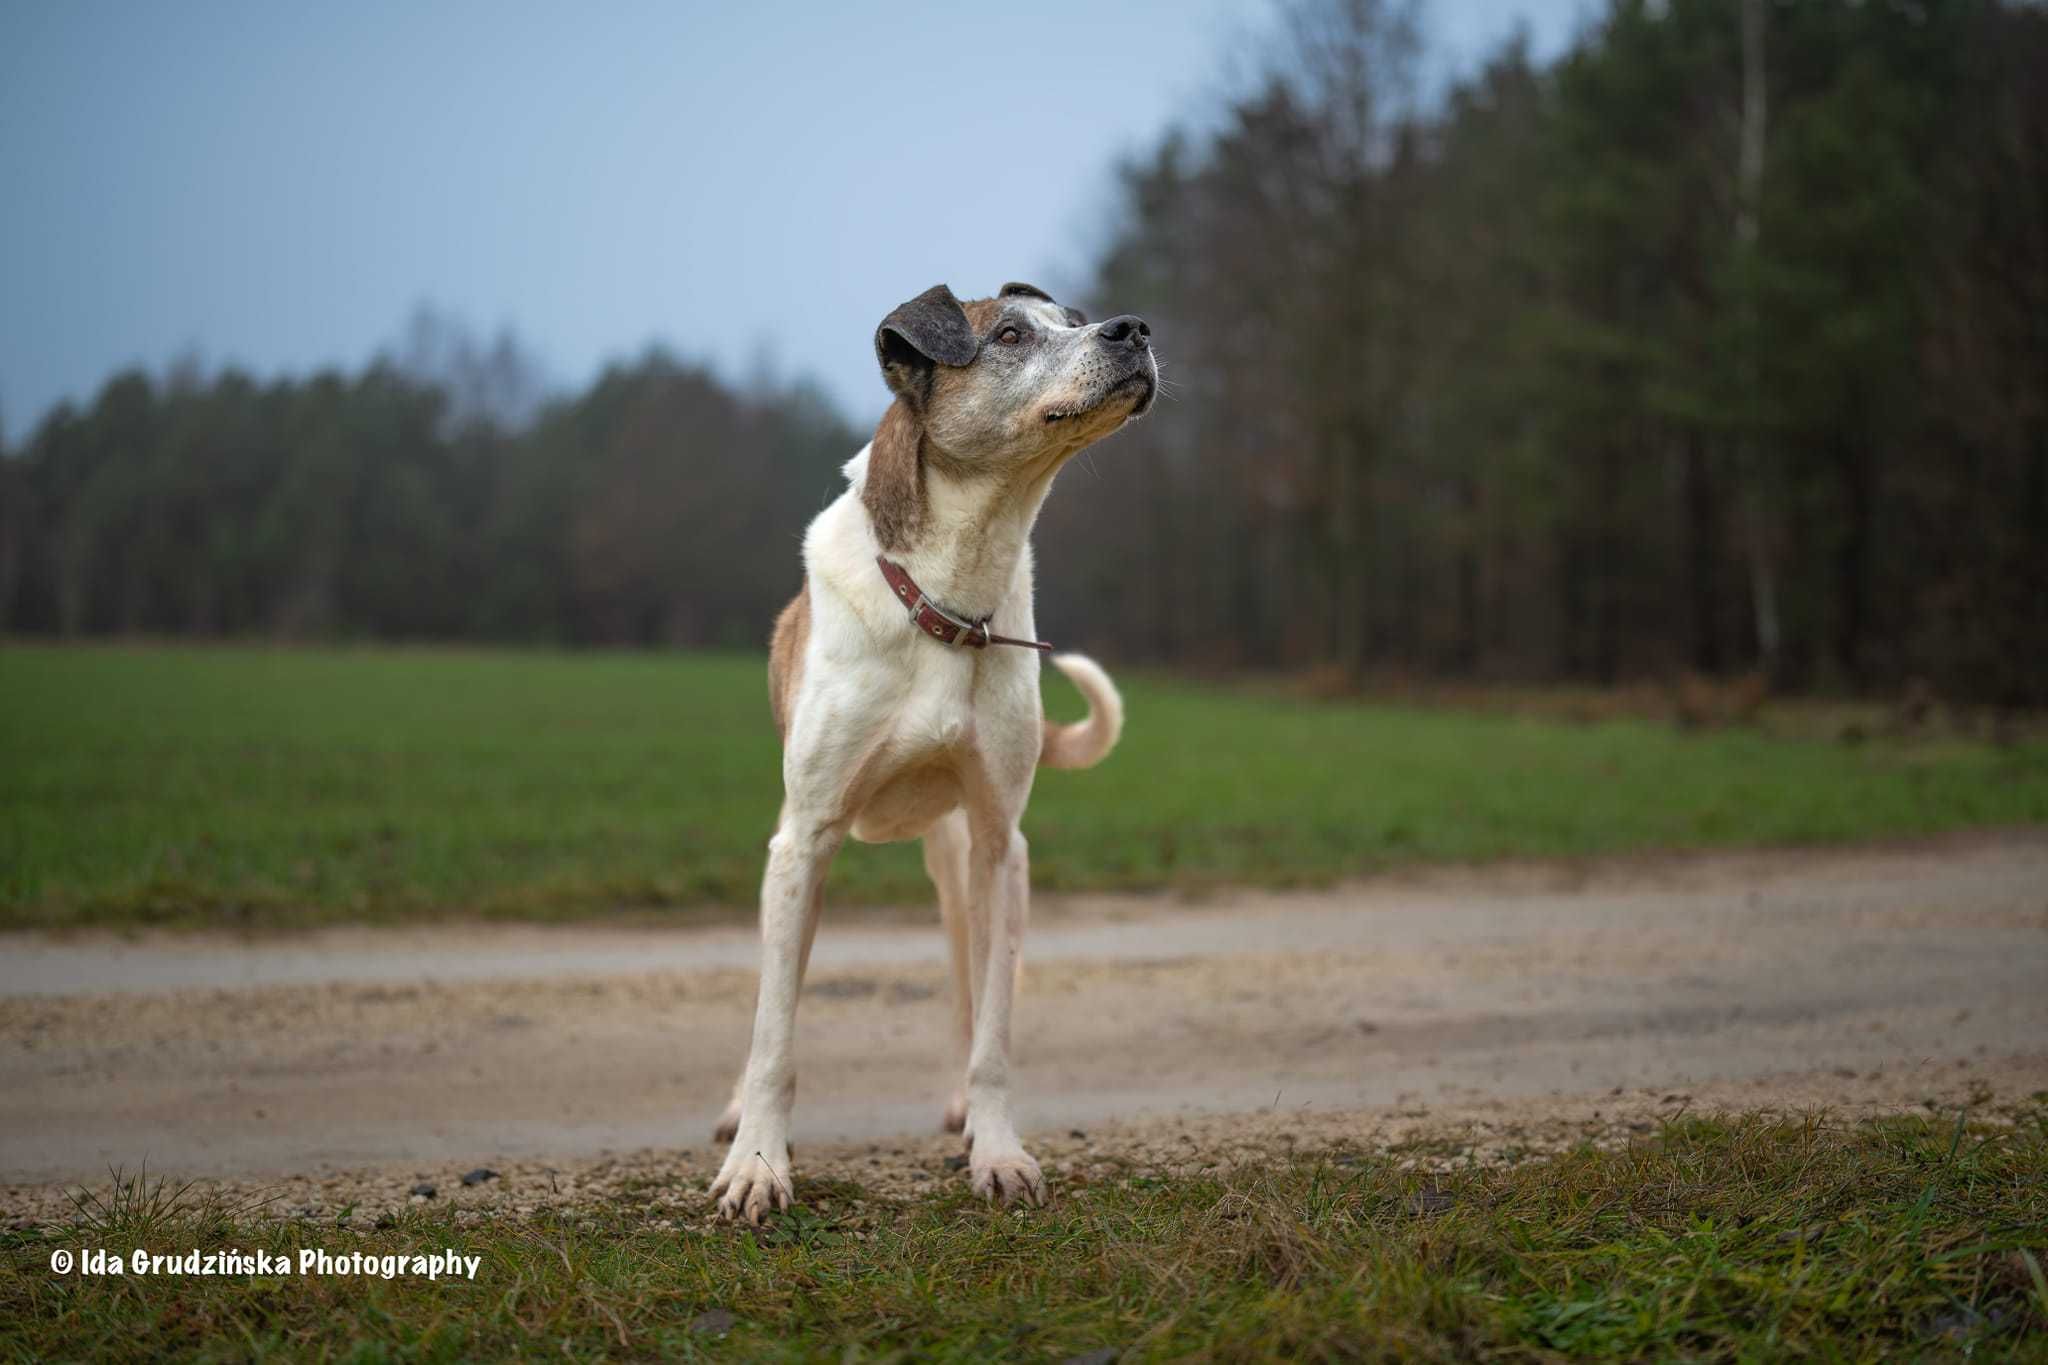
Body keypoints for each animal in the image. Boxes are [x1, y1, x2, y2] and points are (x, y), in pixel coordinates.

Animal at [708, 282, 1155, 1219]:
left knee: (966, 981)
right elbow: (775, 1032)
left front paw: (998, 1151)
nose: (1134, 329)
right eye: (1011, 335)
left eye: (1076, 319)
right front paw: (759, 1164)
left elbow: (992, 1027)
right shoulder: (802, 843)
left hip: (957, 866)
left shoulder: (999, 843)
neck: (951, 595)